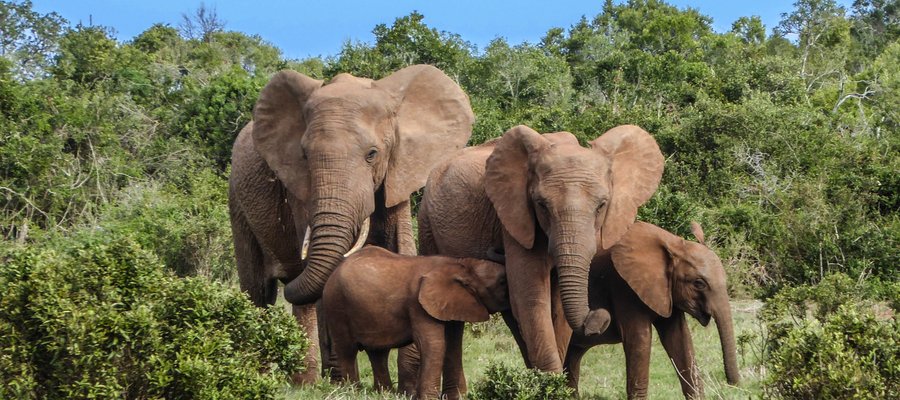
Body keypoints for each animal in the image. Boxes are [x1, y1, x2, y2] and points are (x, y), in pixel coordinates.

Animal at [229, 64, 474, 382]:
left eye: (372, 154)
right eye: (304, 156)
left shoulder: (398, 173)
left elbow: (402, 247)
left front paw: (407, 382)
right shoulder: (299, 188)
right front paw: (343, 380)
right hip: (236, 201)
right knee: (259, 292)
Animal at [324, 245, 510, 398]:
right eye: (502, 282)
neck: (461, 264)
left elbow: (453, 345)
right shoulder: (418, 304)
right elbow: (433, 344)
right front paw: (429, 398)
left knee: (378, 353)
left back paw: (384, 393)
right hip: (336, 305)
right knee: (347, 350)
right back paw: (352, 392)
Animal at [418, 124, 664, 372]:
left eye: (601, 206)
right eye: (541, 205)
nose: (599, 317)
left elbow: (557, 308)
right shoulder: (516, 217)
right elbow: (531, 297)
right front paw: (551, 380)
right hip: (426, 222)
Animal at [568, 220, 740, 398]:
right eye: (699, 283)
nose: (732, 384)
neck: (674, 244)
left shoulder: (667, 292)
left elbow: (679, 338)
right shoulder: (623, 286)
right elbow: (640, 339)